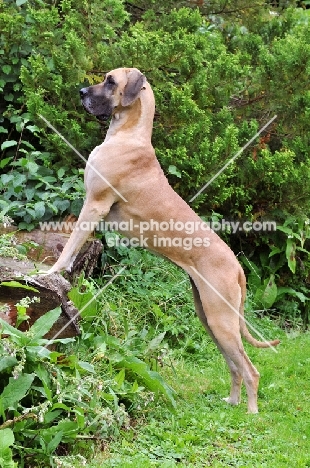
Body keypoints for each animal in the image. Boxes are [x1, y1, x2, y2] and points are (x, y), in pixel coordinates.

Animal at [49, 66, 280, 414]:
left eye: (110, 81)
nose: (80, 92)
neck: (128, 135)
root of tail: (238, 267)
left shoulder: (95, 204)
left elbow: (72, 245)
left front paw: (51, 271)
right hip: (211, 318)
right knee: (235, 366)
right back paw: (232, 401)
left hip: (222, 321)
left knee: (250, 369)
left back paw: (251, 414)